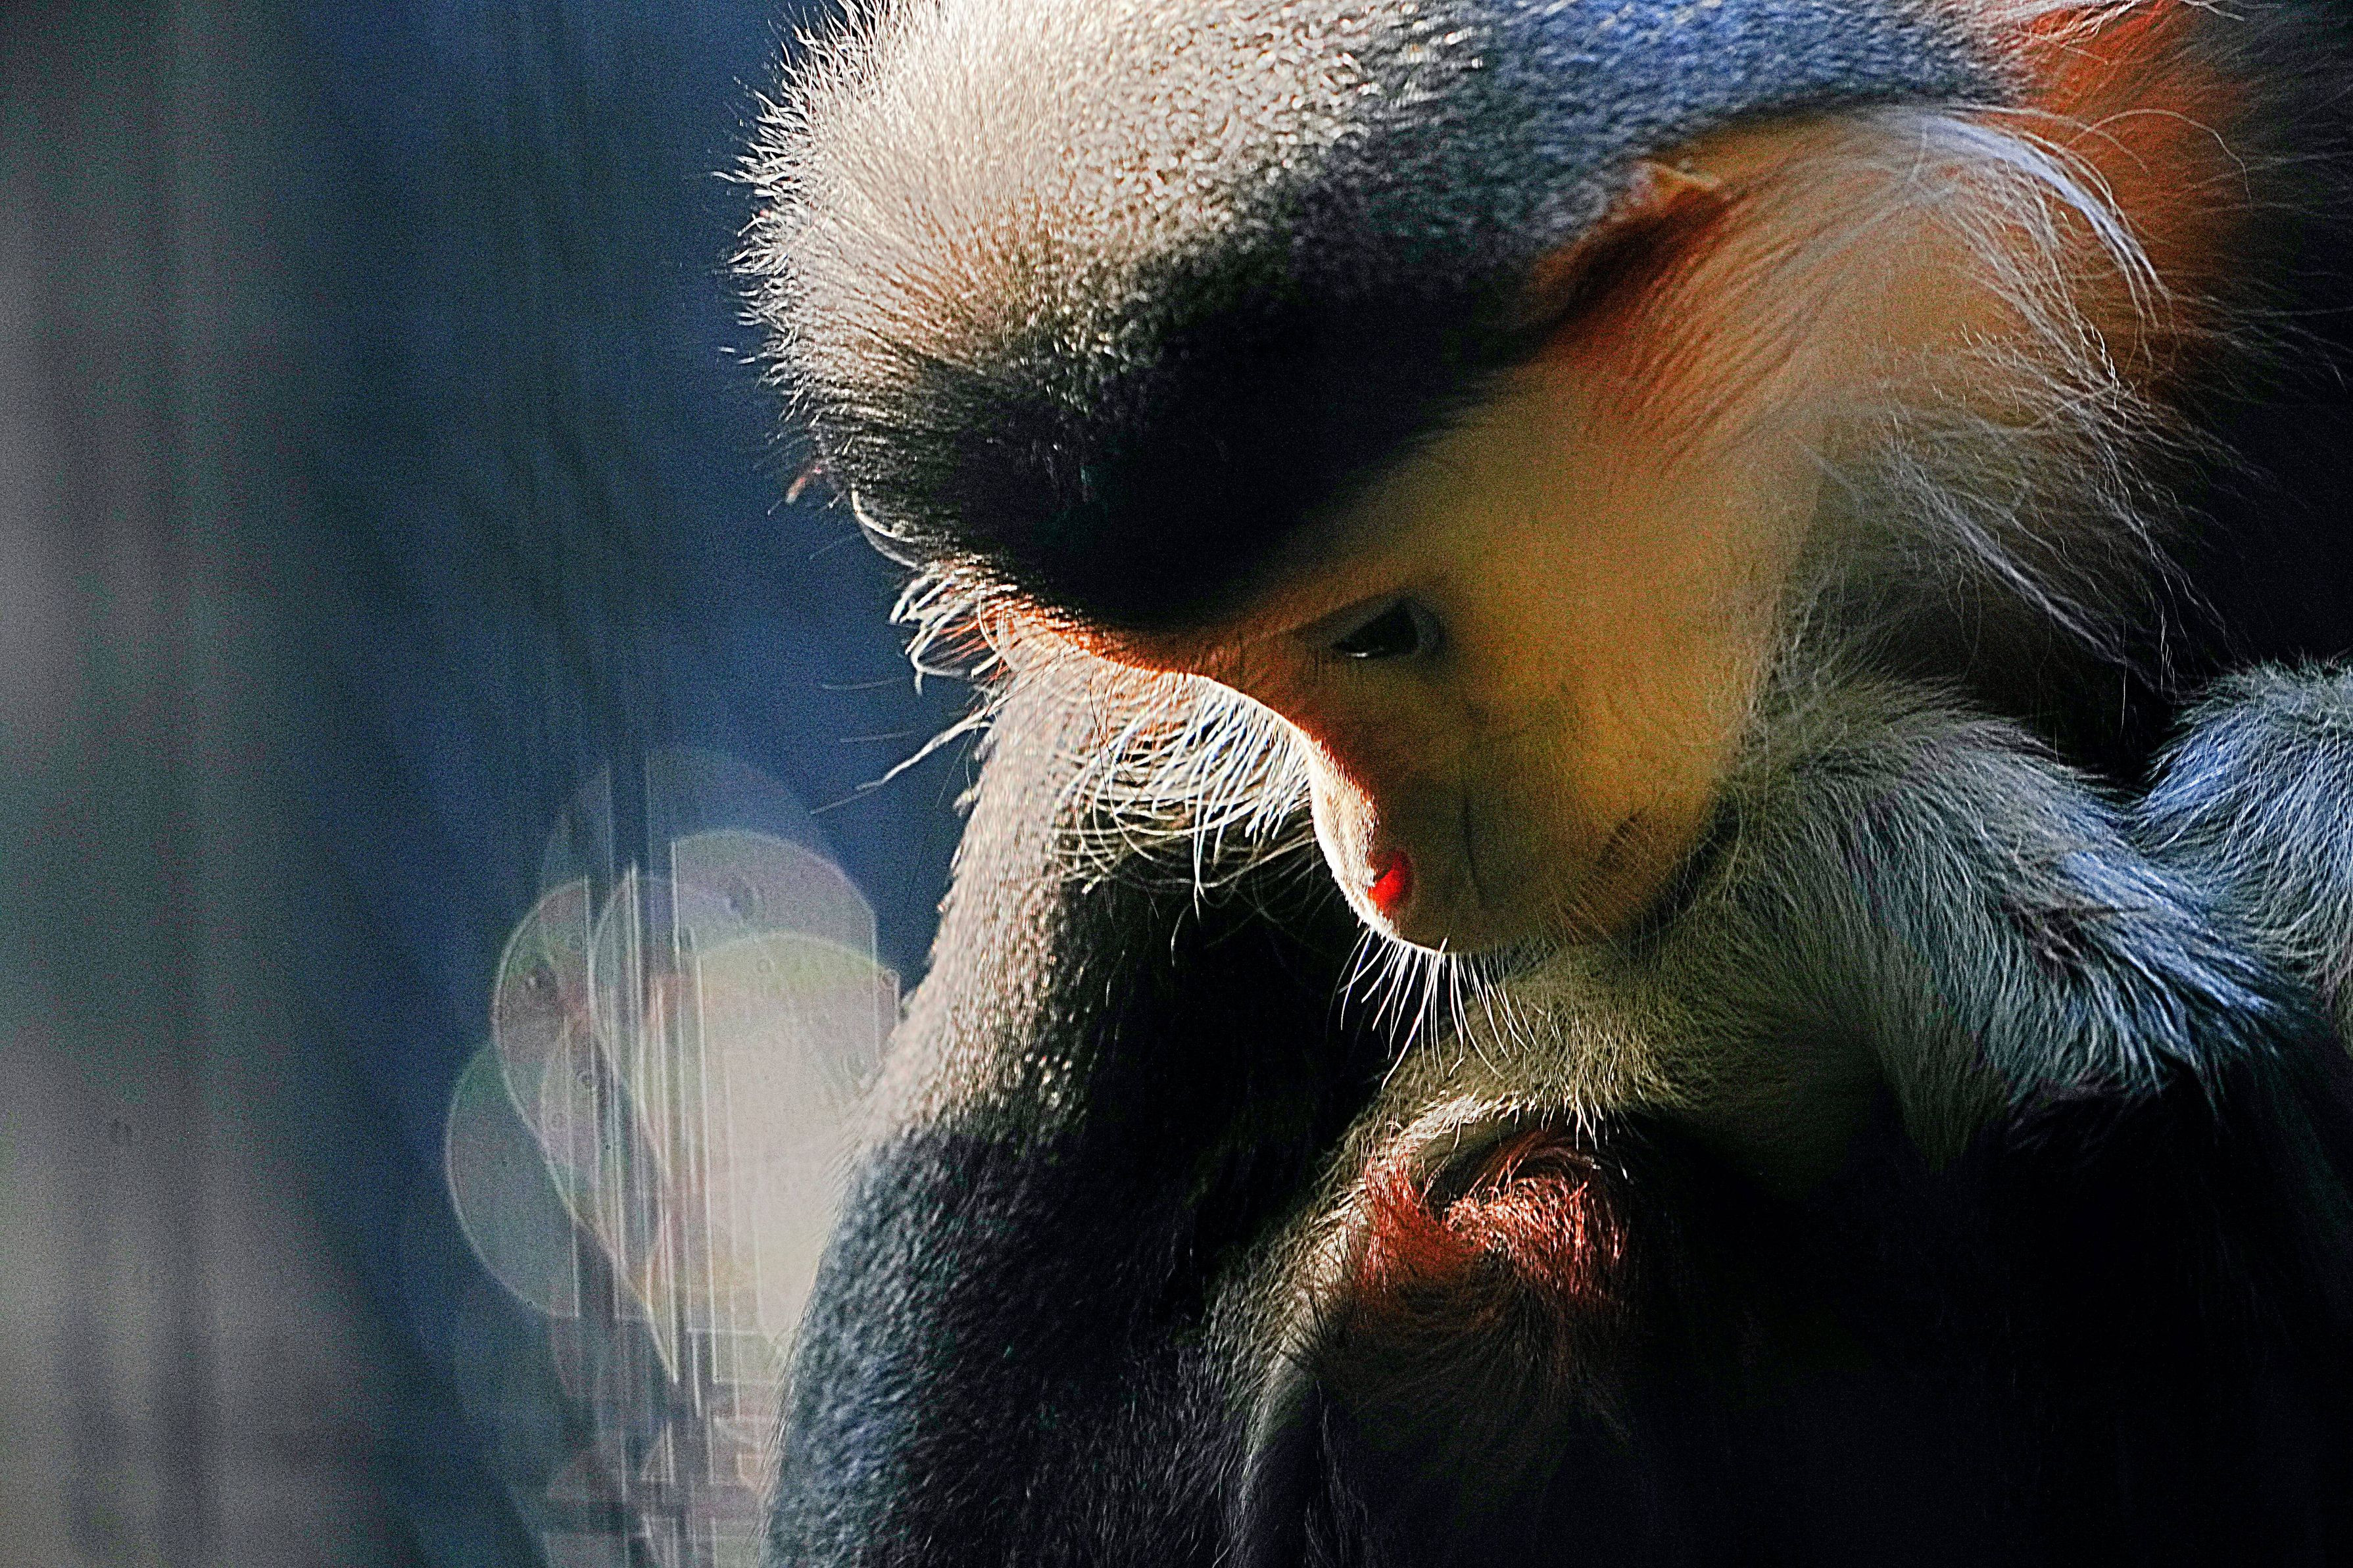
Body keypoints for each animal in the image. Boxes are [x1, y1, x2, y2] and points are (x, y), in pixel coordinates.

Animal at [742, 0, 2353, 1561]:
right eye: (1231, 680)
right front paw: (1843, 894)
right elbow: (927, 1501)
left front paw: (2305, 790)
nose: (1375, 864)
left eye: (1373, 635)